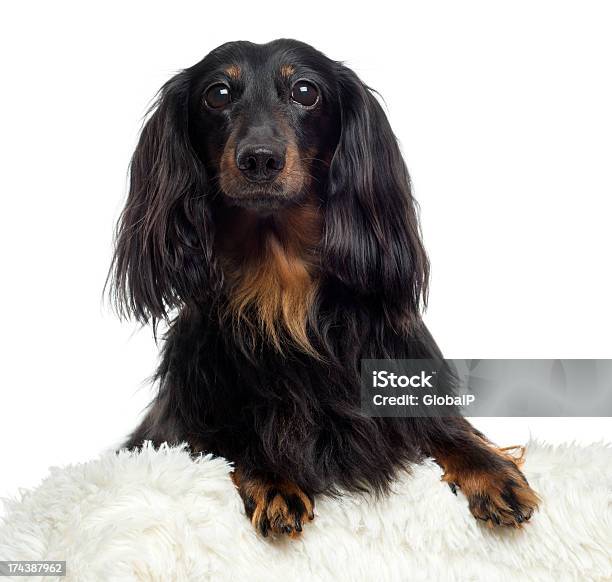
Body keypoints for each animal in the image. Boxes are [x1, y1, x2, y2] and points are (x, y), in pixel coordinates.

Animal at [111, 38, 540, 540]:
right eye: (217, 94)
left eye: (305, 90)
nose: (260, 159)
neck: (280, 283)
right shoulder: (187, 421)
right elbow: (233, 438)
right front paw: (274, 479)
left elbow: (449, 427)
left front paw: (492, 472)